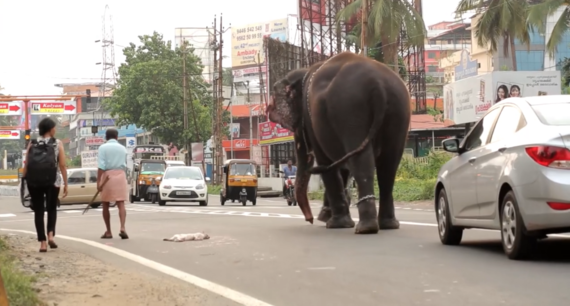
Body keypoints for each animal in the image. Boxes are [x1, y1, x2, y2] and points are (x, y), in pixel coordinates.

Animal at [266, 52, 408, 234]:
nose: (310, 220)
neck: (304, 71)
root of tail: (378, 85)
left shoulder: (311, 117)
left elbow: (327, 162)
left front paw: (333, 222)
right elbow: (341, 167)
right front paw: (327, 217)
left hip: (350, 109)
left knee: (361, 162)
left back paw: (365, 228)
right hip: (399, 110)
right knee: (389, 163)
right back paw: (387, 225)